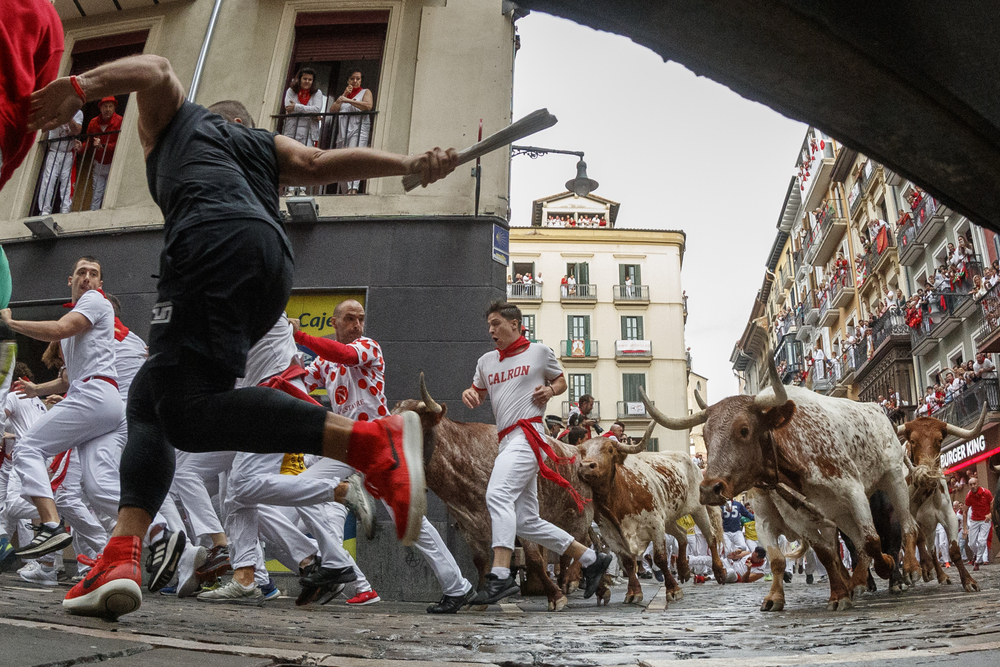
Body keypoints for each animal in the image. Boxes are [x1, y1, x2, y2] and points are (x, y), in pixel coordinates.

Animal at [580, 428, 728, 604]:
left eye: (609, 449)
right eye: (582, 452)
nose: (586, 466)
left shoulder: (655, 524)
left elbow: (660, 558)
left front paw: (673, 589)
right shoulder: (610, 532)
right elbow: (628, 561)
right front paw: (633, 592)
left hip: (697, 509)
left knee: (710, 536)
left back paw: (719, 572)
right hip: (669, 518)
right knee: (682, 534)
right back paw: (684, 570)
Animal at [644, 348, 916, 612]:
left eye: (744, 430)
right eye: (707, 436)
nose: (710, 489)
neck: (793, 456)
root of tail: (876, 409)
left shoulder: (853, 492)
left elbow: (872, 541)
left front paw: (885, 567)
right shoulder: (791, 516)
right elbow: (812, 555)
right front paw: (828, 594)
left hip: (893, 479)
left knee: (906, 526)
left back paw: (907, 570)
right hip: (839, 514)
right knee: (855, 544)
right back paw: (858, 582)